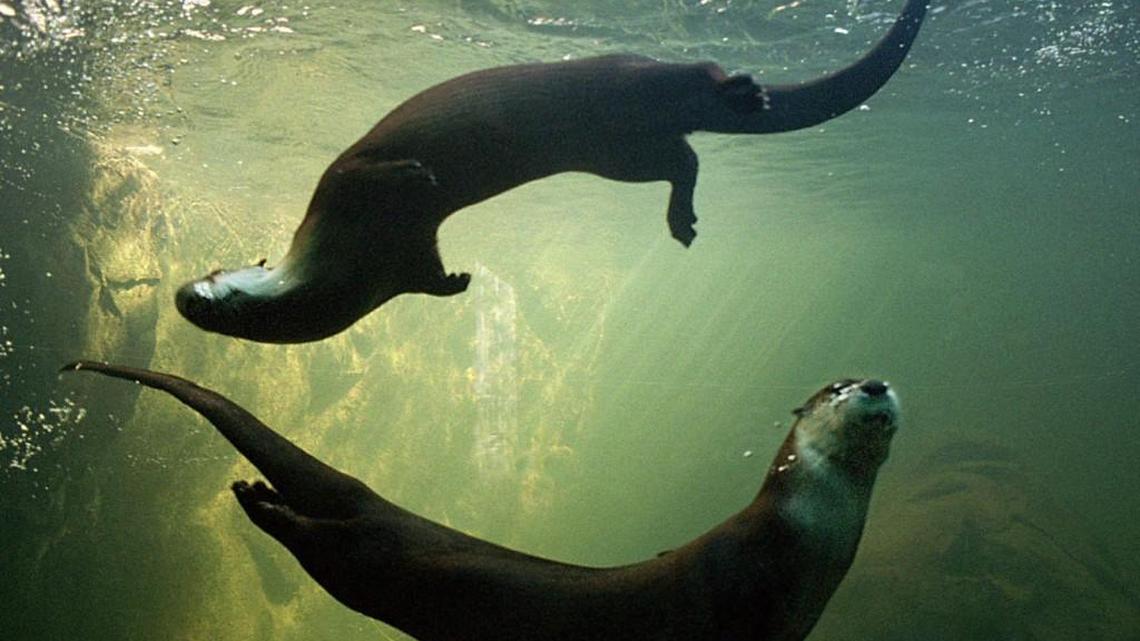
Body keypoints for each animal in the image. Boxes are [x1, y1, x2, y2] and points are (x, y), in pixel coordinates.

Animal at [63, 361, 900, 641]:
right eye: (834, 387)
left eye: (869, 377)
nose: (875, 383)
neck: (807, 540)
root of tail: (380, 502)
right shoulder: (738, 581)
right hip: (372, 560)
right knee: (322, 546)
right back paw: (254, 498)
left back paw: (257, 491)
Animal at [175, 0, 927, 343]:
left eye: (211, 280)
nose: (185, 296)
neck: (344, 259)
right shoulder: (402, 259)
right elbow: (428, 273)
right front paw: (459, 281)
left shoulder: (343, 183)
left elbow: (378, 173)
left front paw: (420, 177)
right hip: (621, 154)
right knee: (683, 157)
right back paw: (682, 219)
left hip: (625, 78)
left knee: (697, 73)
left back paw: (744, 93)